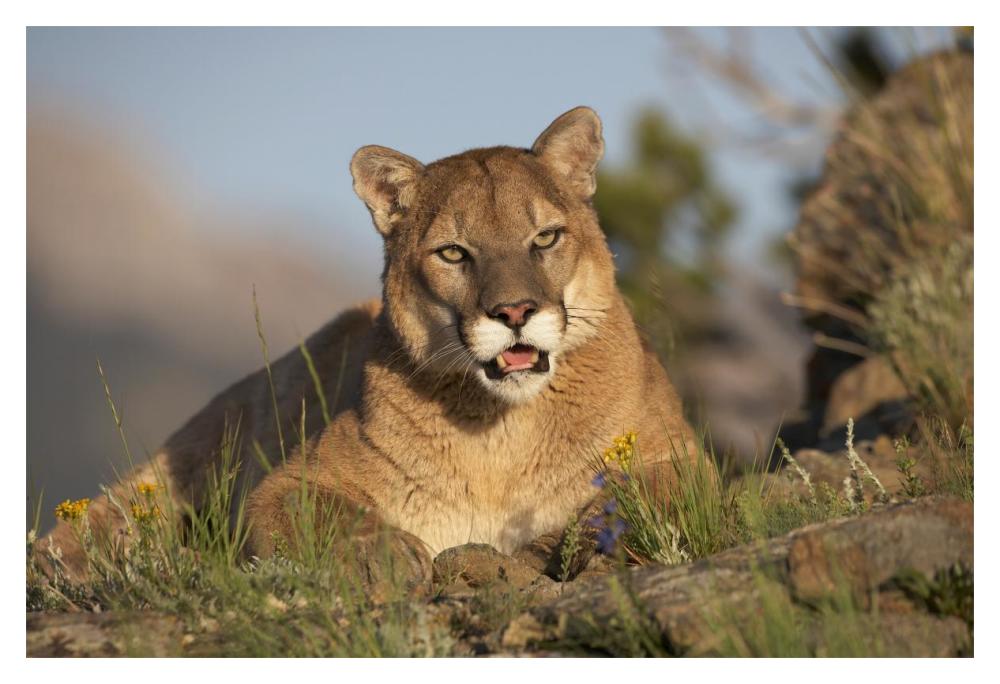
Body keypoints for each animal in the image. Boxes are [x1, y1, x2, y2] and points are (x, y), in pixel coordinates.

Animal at [38, 107, 699, 585]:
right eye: (453, 252)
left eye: (545, 238)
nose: (513, 312)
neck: (503, 435)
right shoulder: (288, 483)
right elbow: (320, 514)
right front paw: (384, 552)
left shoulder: (682, 458)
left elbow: (651, 493)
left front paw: (585, 539)